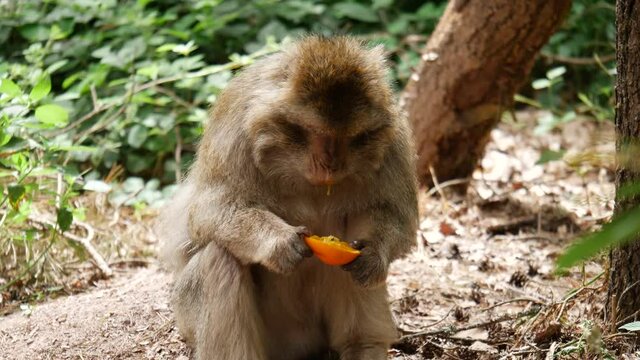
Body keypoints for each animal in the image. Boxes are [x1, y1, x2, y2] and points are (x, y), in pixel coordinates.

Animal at [159, 35, 420, 360]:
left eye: (348, 136)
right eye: (317, 132)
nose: (331, 162)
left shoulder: (394, 139)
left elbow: (396, 215)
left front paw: (373, 255)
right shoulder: (236, 126)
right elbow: (210, 210)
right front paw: (280, 243)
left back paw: (362, 346)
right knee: (220, 256)